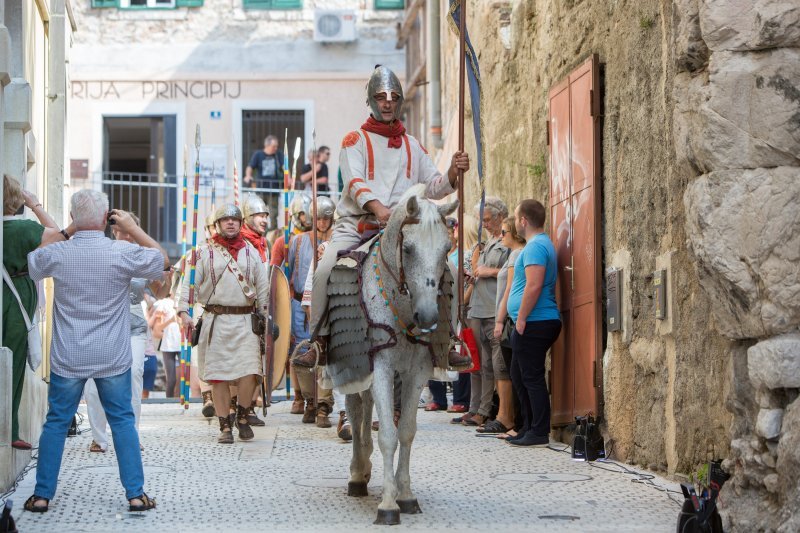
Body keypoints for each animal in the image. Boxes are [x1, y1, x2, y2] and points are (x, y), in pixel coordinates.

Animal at [340, 186, 460, 524]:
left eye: (447, 248)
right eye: (407, 248)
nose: (428, 317)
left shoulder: (416, 372)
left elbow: (405, 432)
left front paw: (405, 495)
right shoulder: (379, 367)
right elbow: (388, 436)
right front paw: (388, 504)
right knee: (356, 411)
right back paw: (358, 474)